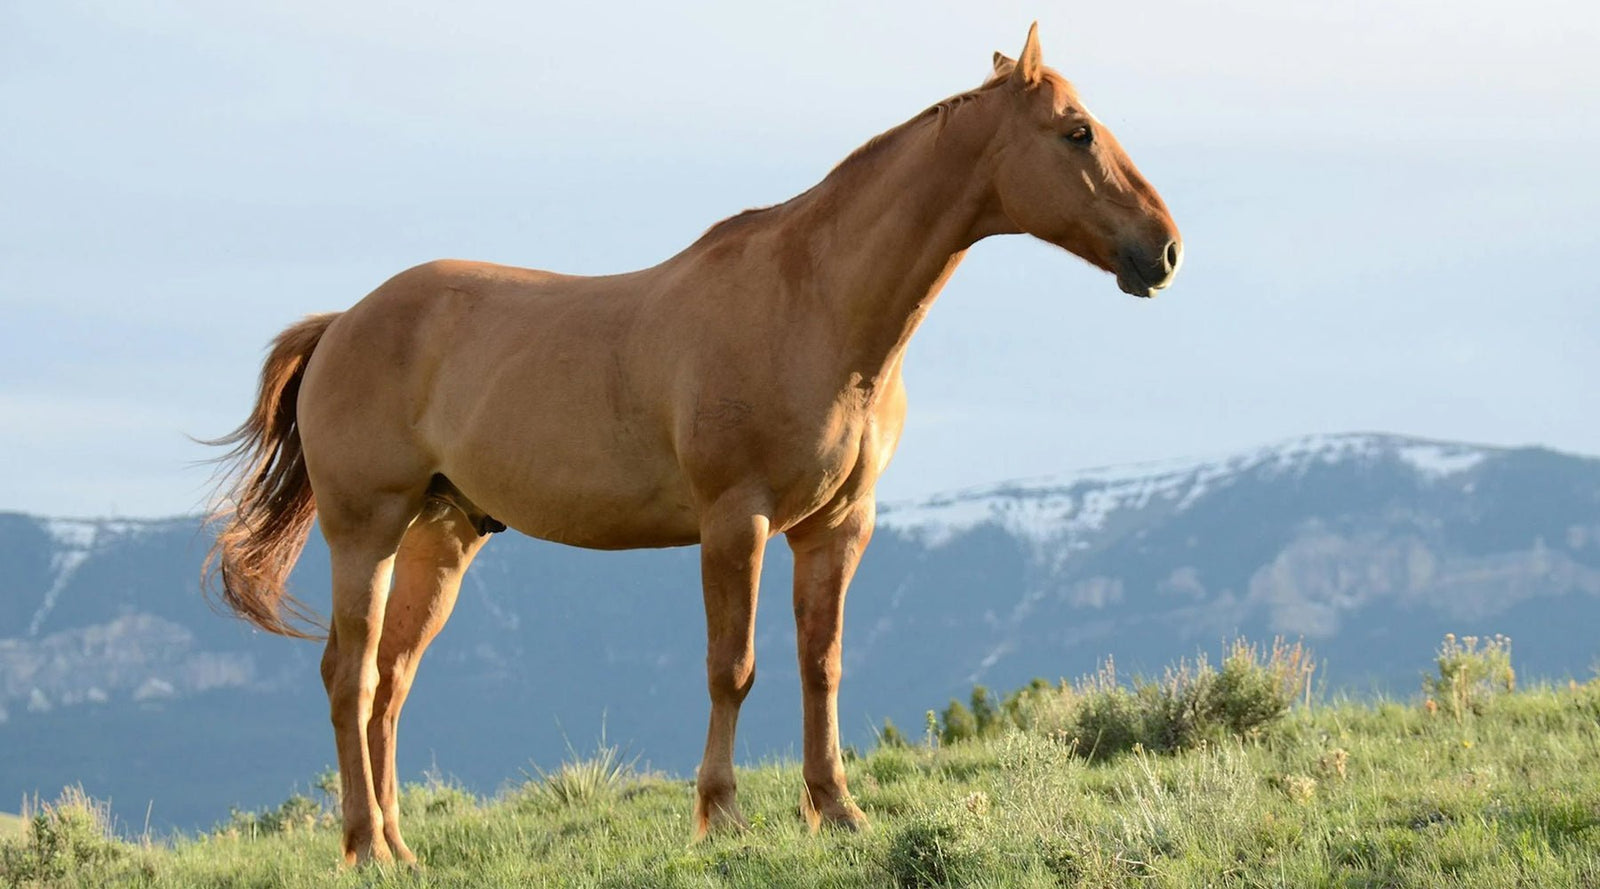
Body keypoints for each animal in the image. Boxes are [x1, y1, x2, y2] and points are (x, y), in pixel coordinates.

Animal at [205, 23, 1181, 866]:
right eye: (1077, 132)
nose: (1165, 250)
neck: (814, 304)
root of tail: (343, 323)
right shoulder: (734, 522)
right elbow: (732, 668)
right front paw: (723, 815)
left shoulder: (838, 527)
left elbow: (821, 664)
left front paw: (838, 810)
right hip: (365, 529)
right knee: (350, 675)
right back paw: (366, 844)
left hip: (440, 536)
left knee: (392, 682)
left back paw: (400, 846)